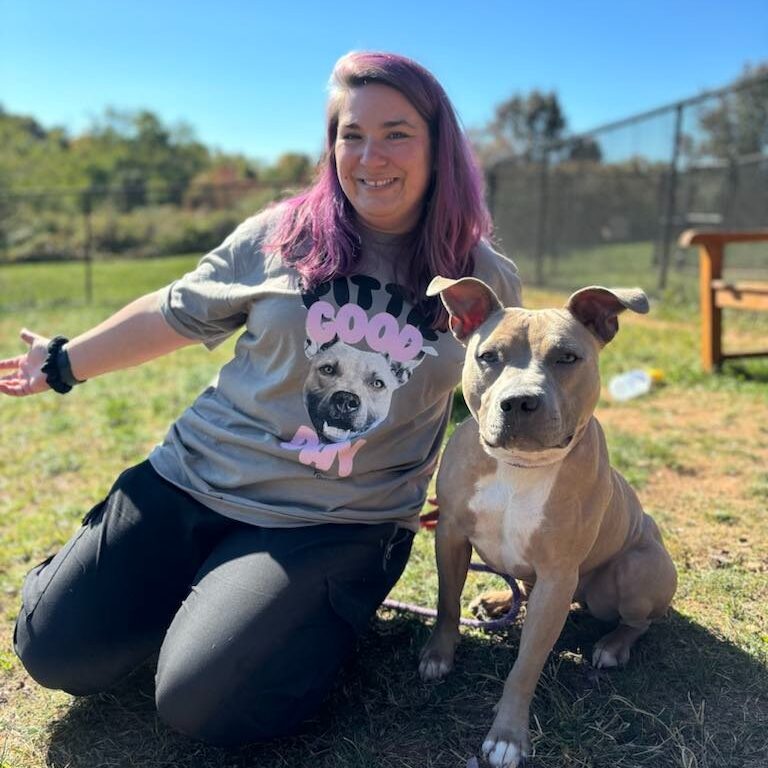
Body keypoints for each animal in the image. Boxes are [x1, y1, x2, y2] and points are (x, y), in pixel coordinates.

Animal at [420, 278, 680, 768]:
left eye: (567, 357)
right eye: (488, 356)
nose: (520, 401)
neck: (519, 468)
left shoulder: (558, 577)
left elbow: (526, 665)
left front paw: (507, 736)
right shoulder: (450, 536)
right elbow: (447, 603)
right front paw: (438, 656)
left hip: (636, 570)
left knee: (640, 621)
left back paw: (613, 646)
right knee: (520, 586)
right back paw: (499, 601)